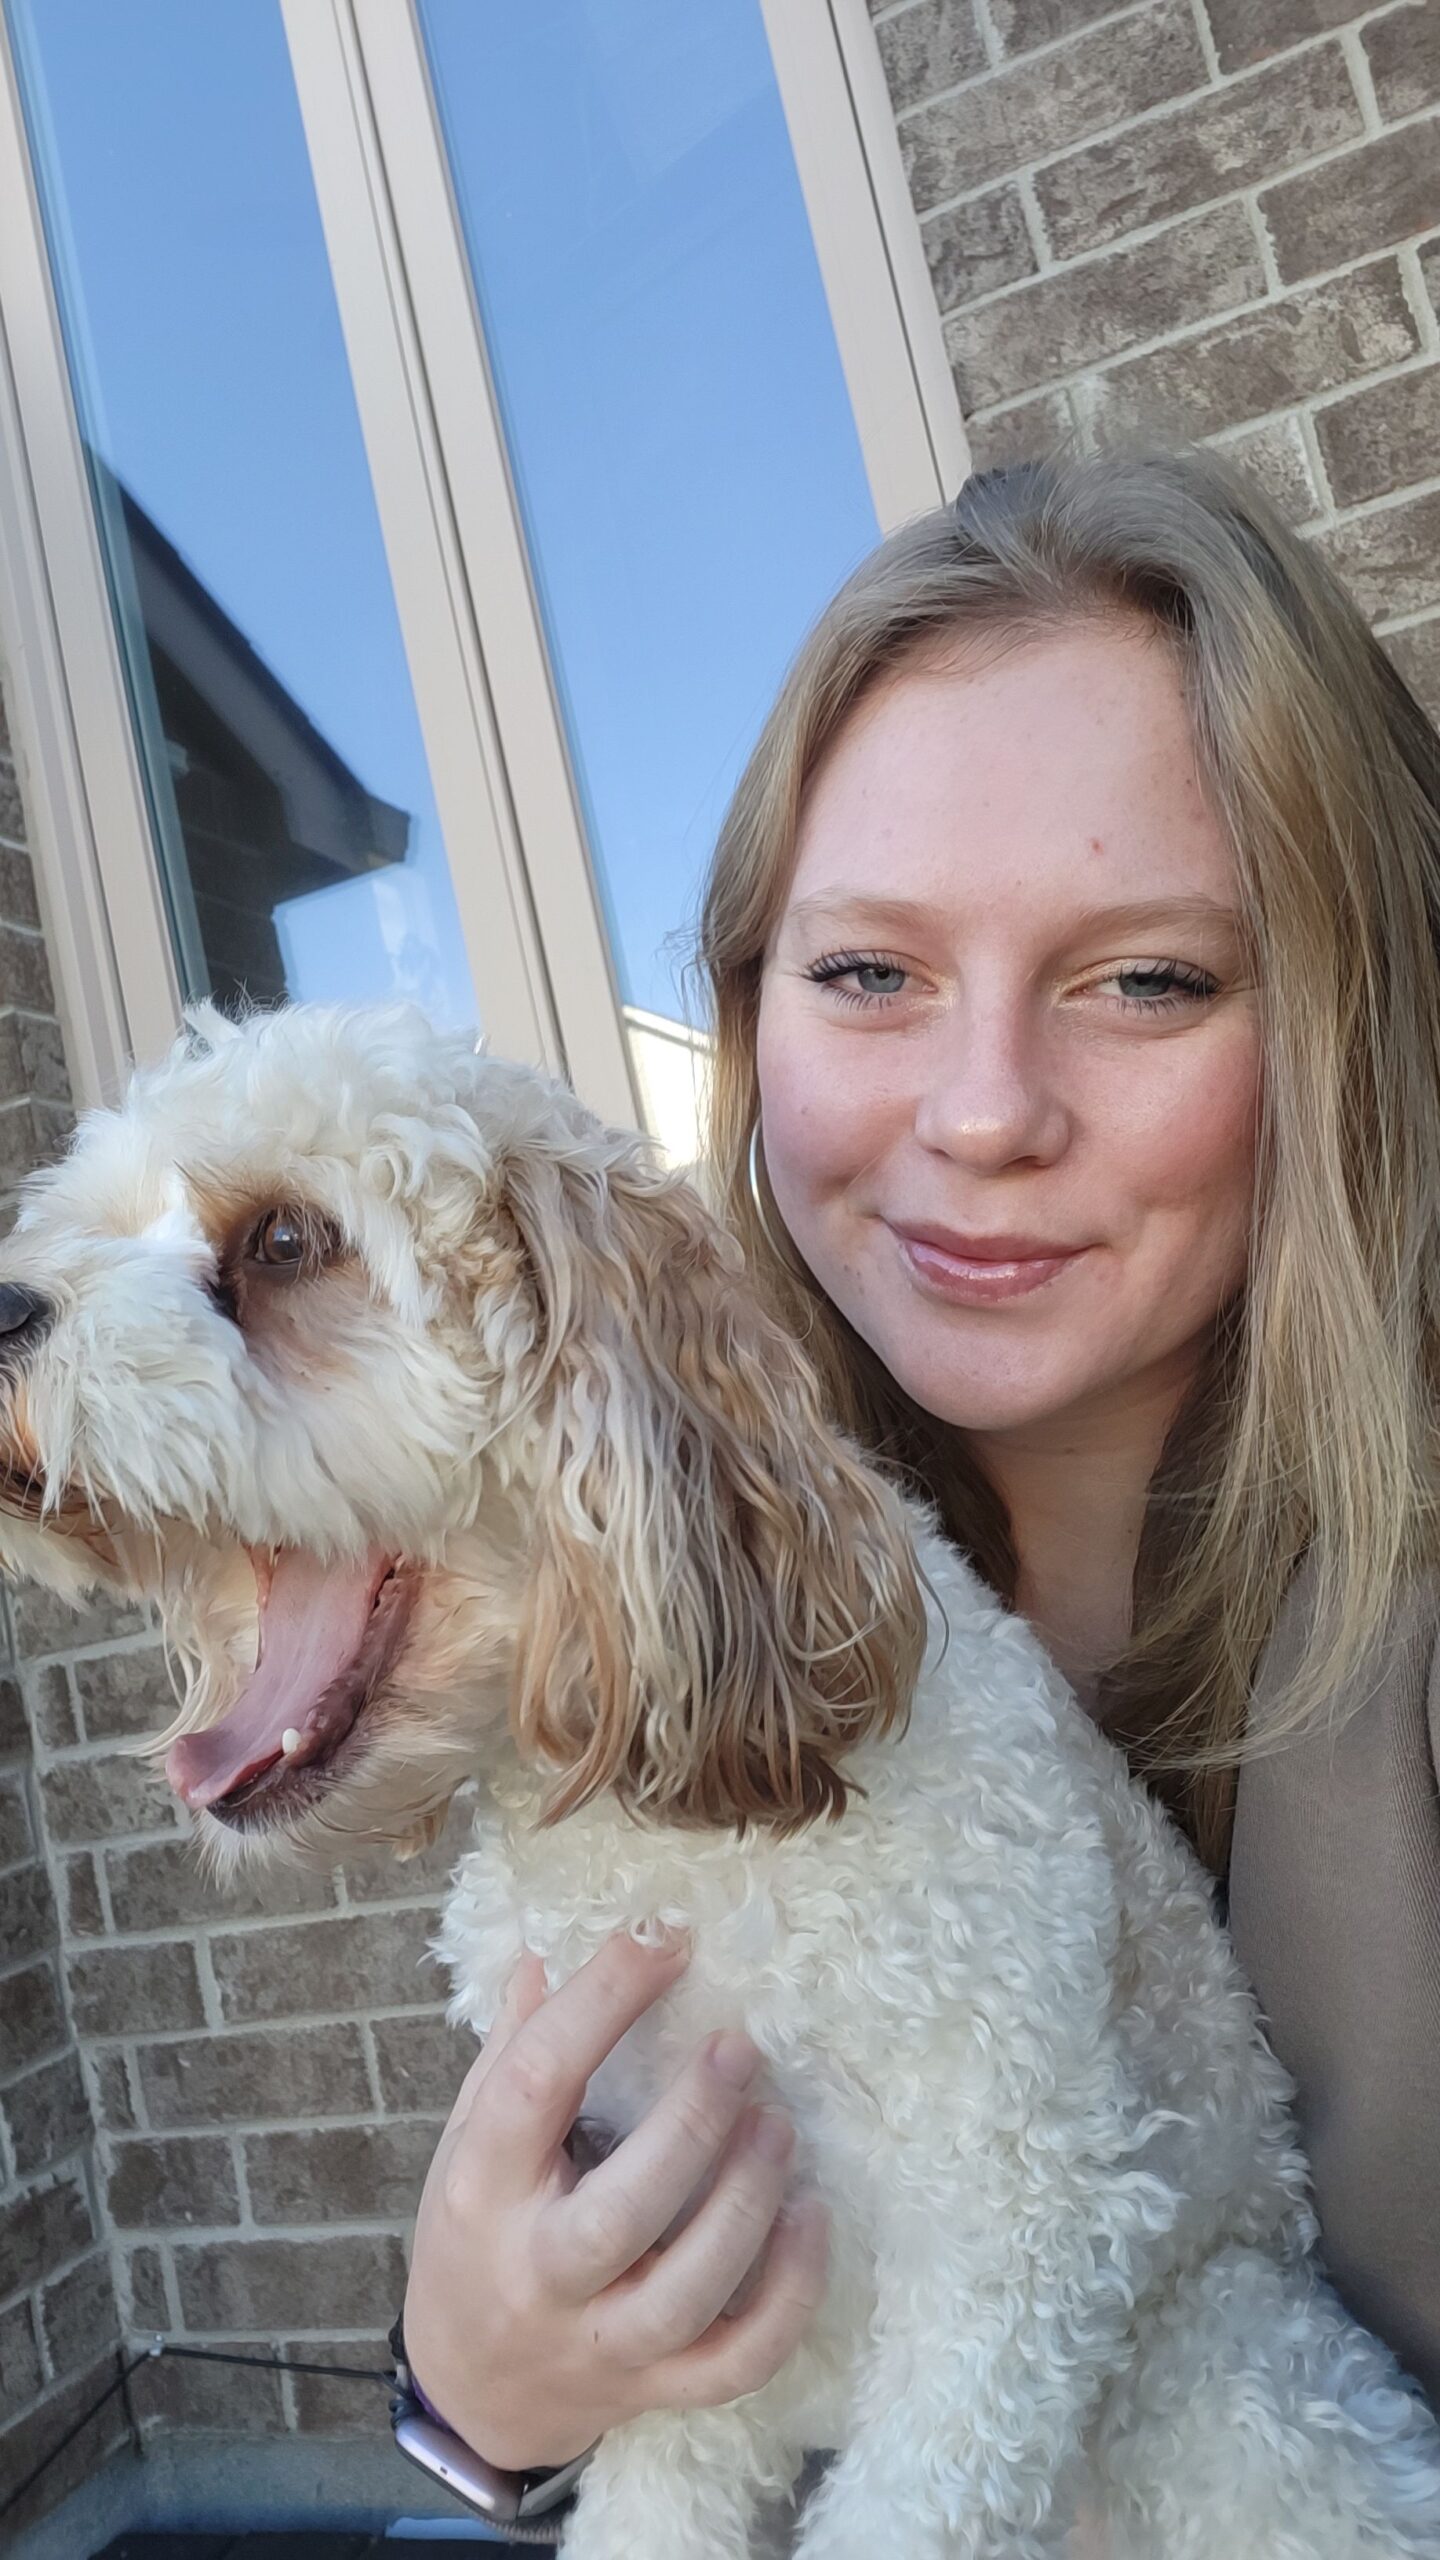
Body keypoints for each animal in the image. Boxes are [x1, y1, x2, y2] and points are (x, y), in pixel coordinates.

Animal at [0, 1000, 1437, 2559]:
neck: (666, 1838)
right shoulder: (671, 2290)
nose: (4, 1309)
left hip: (1231, 2380)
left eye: (281, 1241)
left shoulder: (1016, 2230)